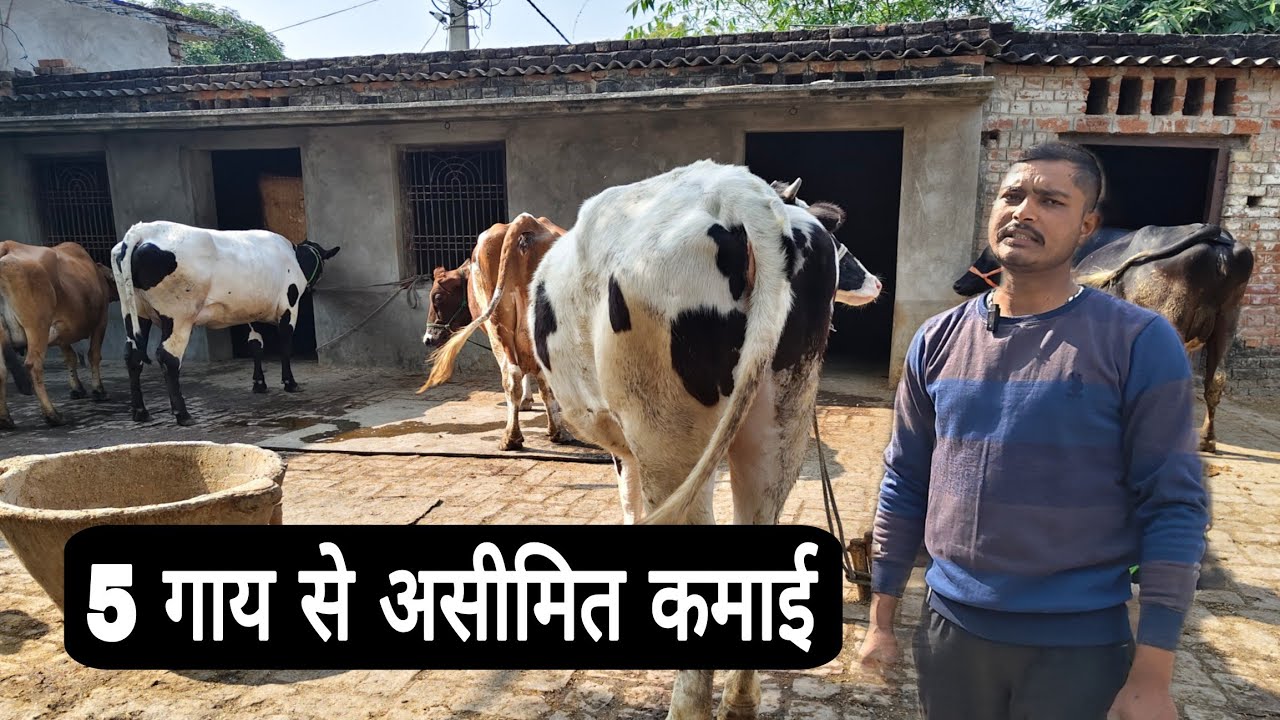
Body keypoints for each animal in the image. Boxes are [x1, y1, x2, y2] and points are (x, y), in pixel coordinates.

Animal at [0, 241, 117, 428]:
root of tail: (7, 246)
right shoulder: (101, 321)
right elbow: (93, 355)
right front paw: (99, 390)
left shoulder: (61, 332)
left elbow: (70, 358)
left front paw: (77, 388)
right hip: (37, 327)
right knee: (33, 366)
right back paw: (52, 415)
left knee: (2, 371)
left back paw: (5, 419)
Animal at [112, 221, 340, 426]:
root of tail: (142, 231)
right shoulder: (289, 307)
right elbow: (285, 344)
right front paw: (290, 383)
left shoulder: (249, 311)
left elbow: (256, 345)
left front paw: (259, 383)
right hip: (178, 315)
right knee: (168, 357)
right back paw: (183, 414)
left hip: (135, 312)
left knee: (133, 355)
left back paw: (140, 412)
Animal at [417, 214, 573, 450]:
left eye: (437, 297)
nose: (428, 338)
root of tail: (526, 221)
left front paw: (527, 401)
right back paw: (558, 431)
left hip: (498, 326)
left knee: (512, 375)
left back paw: (511, 437)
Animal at [527, 161, 881, 719]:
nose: (876, 282)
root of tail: (743, 197)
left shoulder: (629, 450)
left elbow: (629, 503)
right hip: (783, 419)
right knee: (759, 513)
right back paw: (739, 702)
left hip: (665, 431)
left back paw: (688, 706)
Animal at [953, 223, 1255, 452]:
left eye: (987, 257)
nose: (958, 283)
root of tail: (1215, 236)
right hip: (1227, 320)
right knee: (1216, 380)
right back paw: (1207, 440)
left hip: (1170, 316)